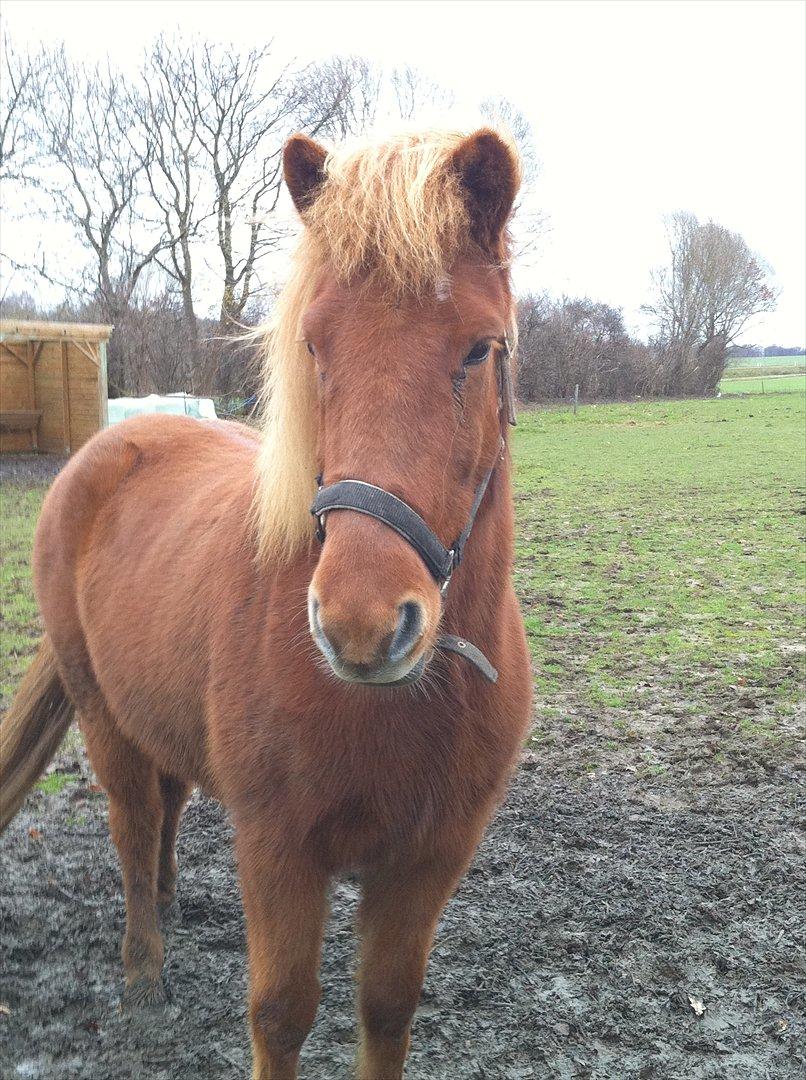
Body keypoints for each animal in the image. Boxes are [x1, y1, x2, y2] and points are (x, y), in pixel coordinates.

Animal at [1, 128, 533, 1080]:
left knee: (169, 803)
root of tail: (107, 448)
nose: (361, 625)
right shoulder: (279, 851)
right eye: (315, 346)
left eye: (479, 348)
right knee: (135, 822)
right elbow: (281, 1014)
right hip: (102, 713)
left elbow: (386, 1008)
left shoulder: (428, 861)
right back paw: (144, 971)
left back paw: (170, 907)